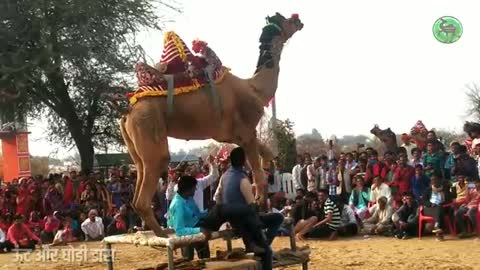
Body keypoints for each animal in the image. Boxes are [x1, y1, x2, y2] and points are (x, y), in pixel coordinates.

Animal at [117, 13, 302, 236]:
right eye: (287, 20)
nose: (299, 21)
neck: (254, 88)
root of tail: (127, 112)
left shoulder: (233, 134)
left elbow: (267, 155)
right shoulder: (247, 130)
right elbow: (259, 177)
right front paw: (259, 205)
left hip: (135, 147)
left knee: (138, 184)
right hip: (148, 127)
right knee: (148, 187)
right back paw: (165, 236)